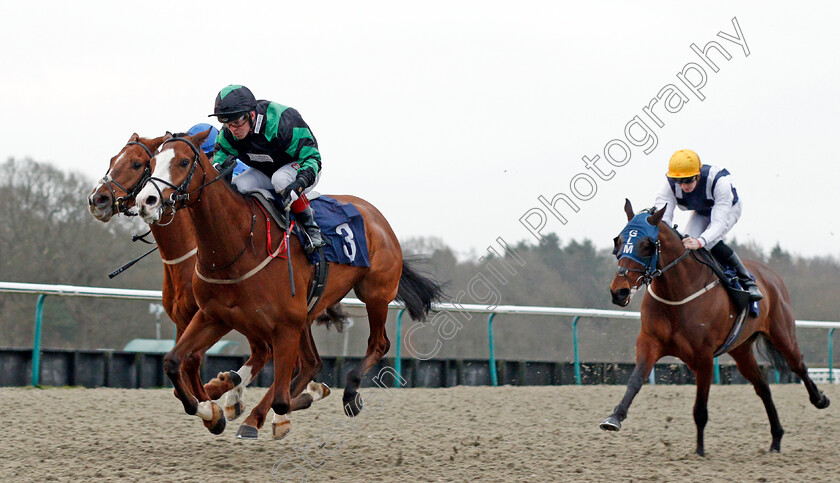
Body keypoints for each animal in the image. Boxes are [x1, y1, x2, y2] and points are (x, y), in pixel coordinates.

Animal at [132, 131, 442, 438]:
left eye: (184, 162)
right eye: (151, 163)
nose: (146, 200)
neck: (239, 244)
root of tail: (378, 218)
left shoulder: (283, 326)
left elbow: (281, 399)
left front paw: (296, 400)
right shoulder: (214, 315)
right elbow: (174, 362)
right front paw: (212, 411)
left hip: (373, 293)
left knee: (377, 344)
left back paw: (346, 393)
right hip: (308, 311)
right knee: (311, 362)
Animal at [600, 199, 832, 456]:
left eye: (646, 245)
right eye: (619, 241)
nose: (619, 291)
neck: (676, 292)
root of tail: (770, 274)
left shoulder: (704, 356)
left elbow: (700, 408)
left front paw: (700, 451)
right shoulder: (650, 342)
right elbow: (635, 380)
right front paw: (614, 418)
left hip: (782, 334)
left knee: (798, 364)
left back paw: (819, 399)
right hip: (741, 349)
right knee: (763, 386)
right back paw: (776, 438)